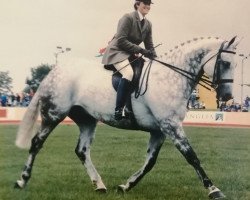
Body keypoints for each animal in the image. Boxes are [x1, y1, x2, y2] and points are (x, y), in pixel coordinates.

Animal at [14, 36, 237, 198]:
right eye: (225, 63)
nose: (227, 97)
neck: (171, 77)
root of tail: (56, 71)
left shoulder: (160, 130)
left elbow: (150, 162)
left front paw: (125, 186)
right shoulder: (171, 126)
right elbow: (192, 156)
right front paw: (214, 189)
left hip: (87, 120)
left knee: (82, 151)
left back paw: (99, 185)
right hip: (54, 114)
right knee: (36, 143)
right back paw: (22, 180)